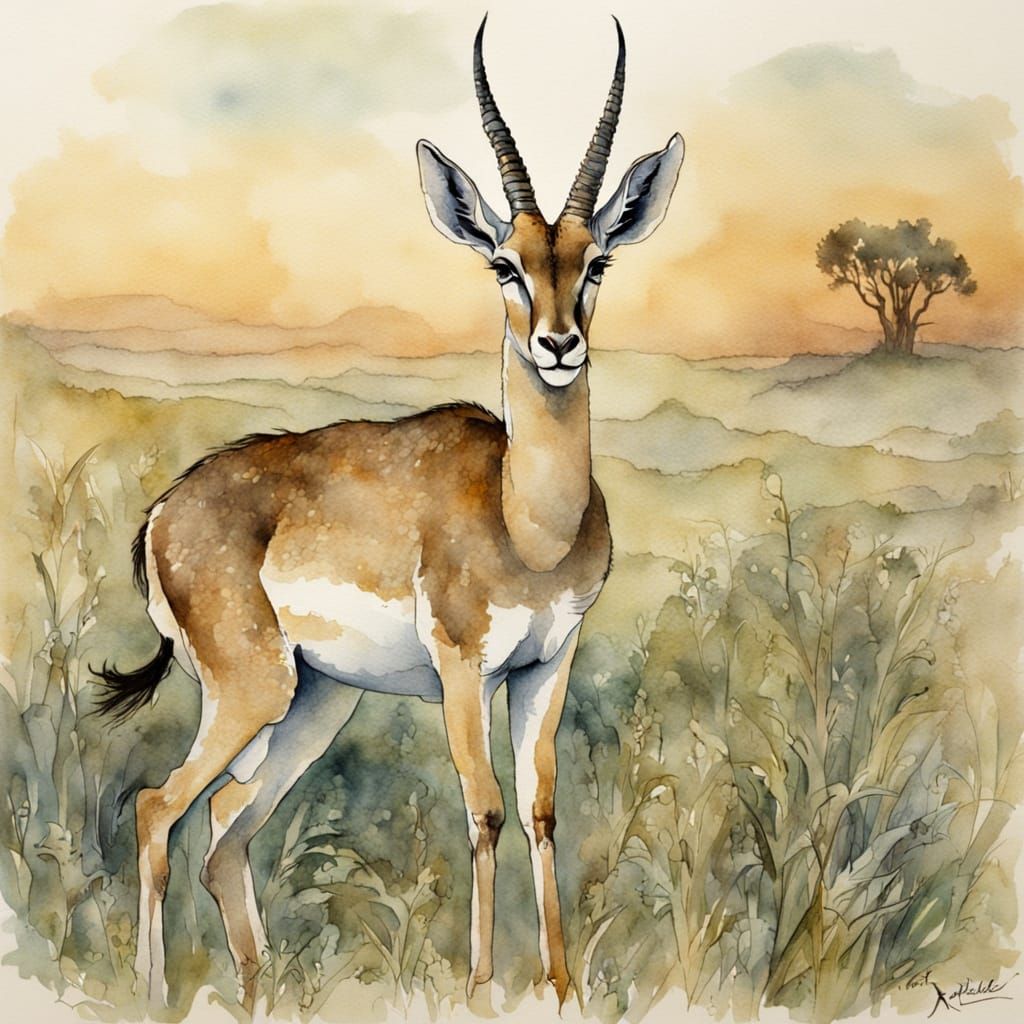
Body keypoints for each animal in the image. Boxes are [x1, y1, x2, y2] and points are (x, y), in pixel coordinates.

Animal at [95, 16, 684, 1013]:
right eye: (505, 263)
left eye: (595, 260)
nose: (558, 345)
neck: (527, 519)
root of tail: (163, 511)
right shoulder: (461, 666)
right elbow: (483, 807)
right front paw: (482, 985)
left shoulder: (548, 663)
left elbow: (540, 808)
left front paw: (561, 985)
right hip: (255, 691)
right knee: (156, 808)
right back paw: (151, 991)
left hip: (315, 700)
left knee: (225, 820)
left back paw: (259, 986)